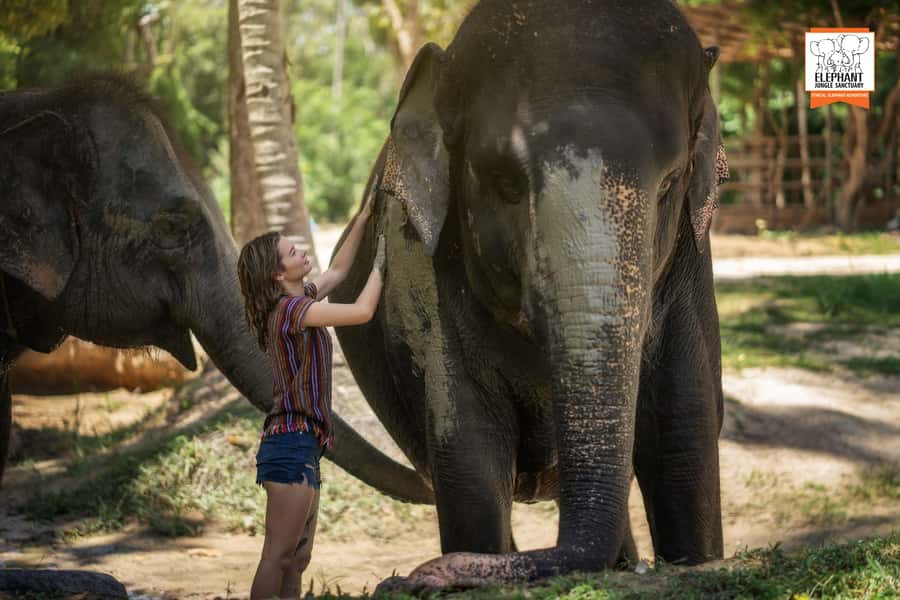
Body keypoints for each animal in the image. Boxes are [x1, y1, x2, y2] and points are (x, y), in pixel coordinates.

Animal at [331, 0, 729, 587]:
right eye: (505, 182)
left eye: (668, 184)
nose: (411, 578)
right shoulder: (425, 265)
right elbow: (469, 452)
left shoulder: (688, 262)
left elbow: (682, 430)